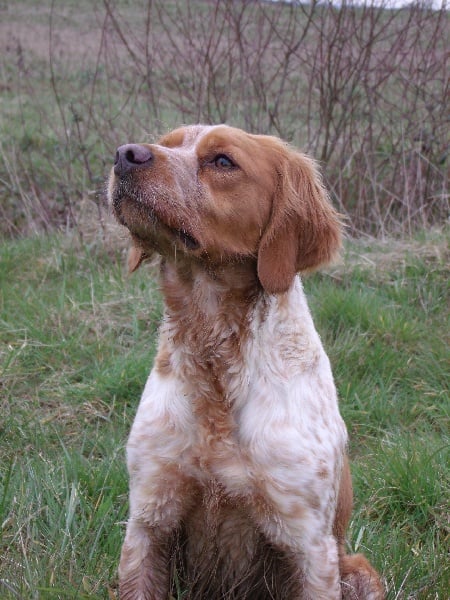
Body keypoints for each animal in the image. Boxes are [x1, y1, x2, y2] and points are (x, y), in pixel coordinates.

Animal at [107, 124, 384, 596]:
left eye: (223, 161)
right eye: (165, 142)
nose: (126, 154)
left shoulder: (310, 546)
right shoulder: (148, 521)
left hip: (360, 570)